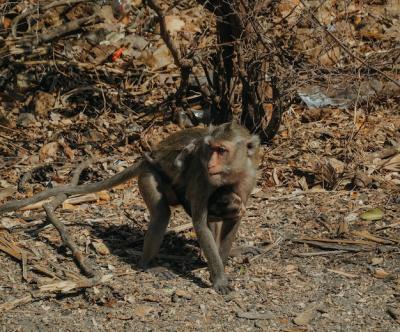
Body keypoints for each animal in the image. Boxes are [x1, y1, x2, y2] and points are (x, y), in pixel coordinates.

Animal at [0, 122, 260, 294]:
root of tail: (148, 157)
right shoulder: (203, 177)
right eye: (211, 149)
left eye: (222, 150)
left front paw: (222, 261)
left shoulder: (248, 178)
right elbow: (199, 222)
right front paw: (218, 277)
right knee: (162, 213)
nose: (211, 163)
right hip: (148, 175)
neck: (231, 173)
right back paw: (147, 266)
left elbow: (233, 220)